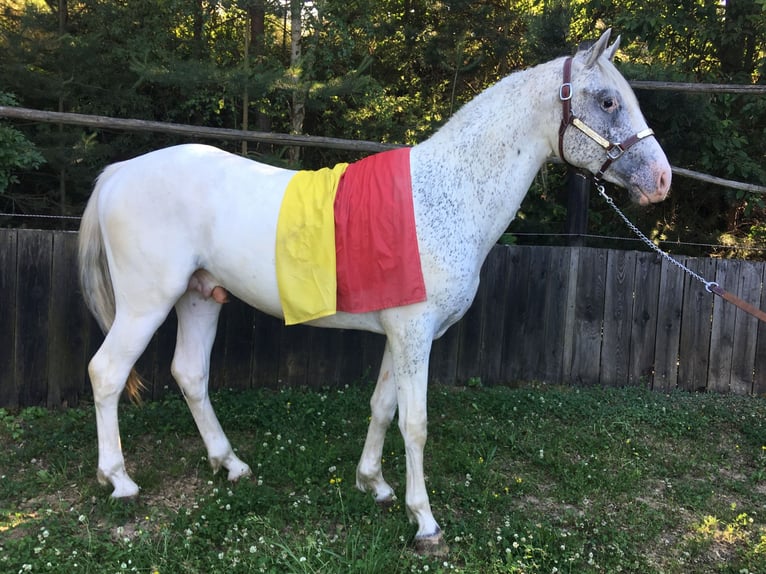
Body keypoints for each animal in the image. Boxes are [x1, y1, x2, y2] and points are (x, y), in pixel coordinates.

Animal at [78, 29, 671, 556]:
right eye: (609, 100)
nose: (662, 180)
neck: (446, 193)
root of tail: (119, 173)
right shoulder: (415, 334)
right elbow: (415, 423)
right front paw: (425, 522)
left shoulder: (400, 334)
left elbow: (383, 407)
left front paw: (374, 485)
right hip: (146, 304)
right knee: (106, 373)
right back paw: (120, 480)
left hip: (200, 297)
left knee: (190, 375)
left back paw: (232, 464)